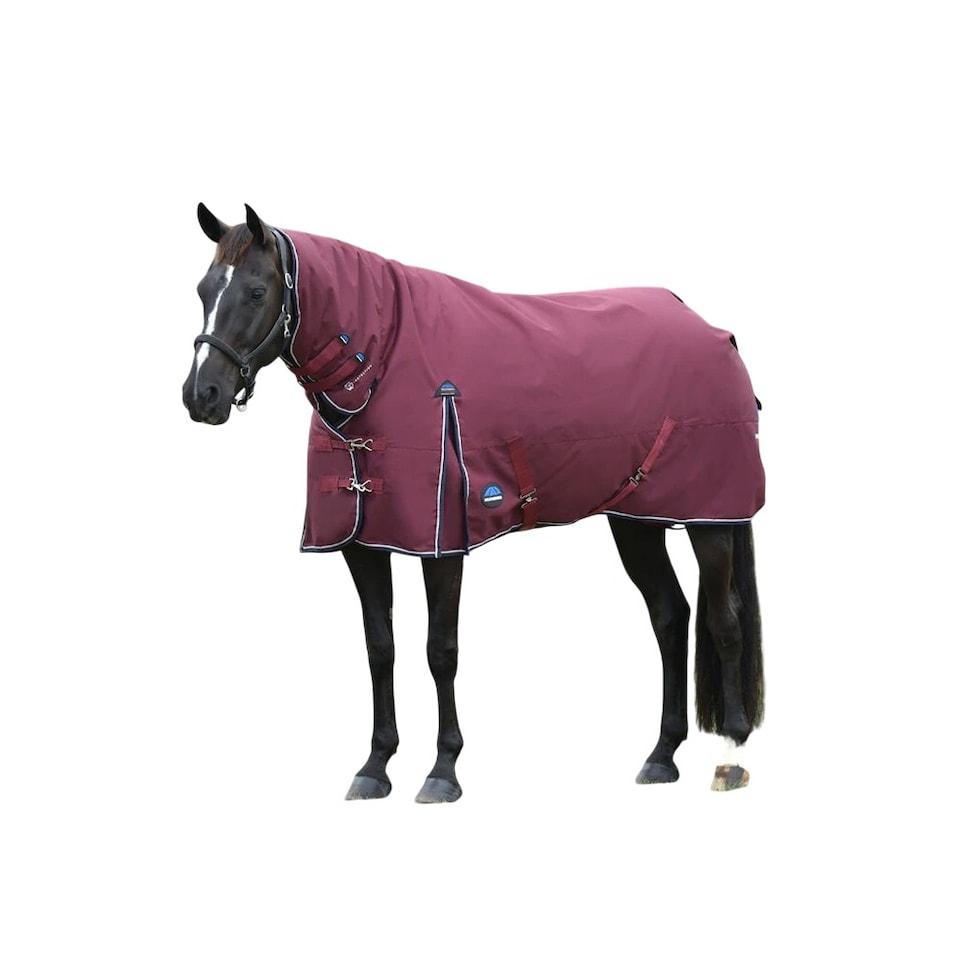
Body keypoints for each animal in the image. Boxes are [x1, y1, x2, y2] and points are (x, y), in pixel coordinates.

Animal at [182, 203, 765, 801]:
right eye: (204, 289)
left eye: (256, 291)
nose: (201, 396)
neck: (383, 362)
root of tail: (713, 331)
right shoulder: (362, 545)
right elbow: (380, 649)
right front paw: (375, 766)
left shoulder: (442, 546)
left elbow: (441, 651)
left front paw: (443, 770)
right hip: (635, 520)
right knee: (671, 617)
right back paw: (661, 755)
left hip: (711, 518)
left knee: (724, 622)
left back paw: (731, 755)